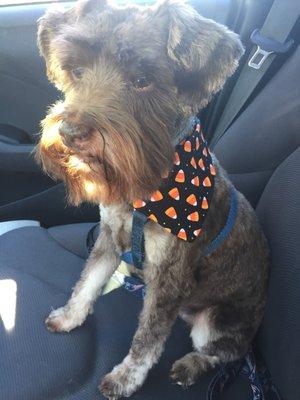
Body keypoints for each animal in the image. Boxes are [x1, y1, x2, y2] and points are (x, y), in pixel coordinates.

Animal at [35, 1, 270, 398]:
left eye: (142, 80)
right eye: (77, 70)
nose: (70, 132)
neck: (143, 193)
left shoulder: (169, 277)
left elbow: (148, 337)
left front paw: (125, 378)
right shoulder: (109, 240)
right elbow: (88, 283)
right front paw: (69, 317)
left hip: (218, 320)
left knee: (224, 353)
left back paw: (190, 366)